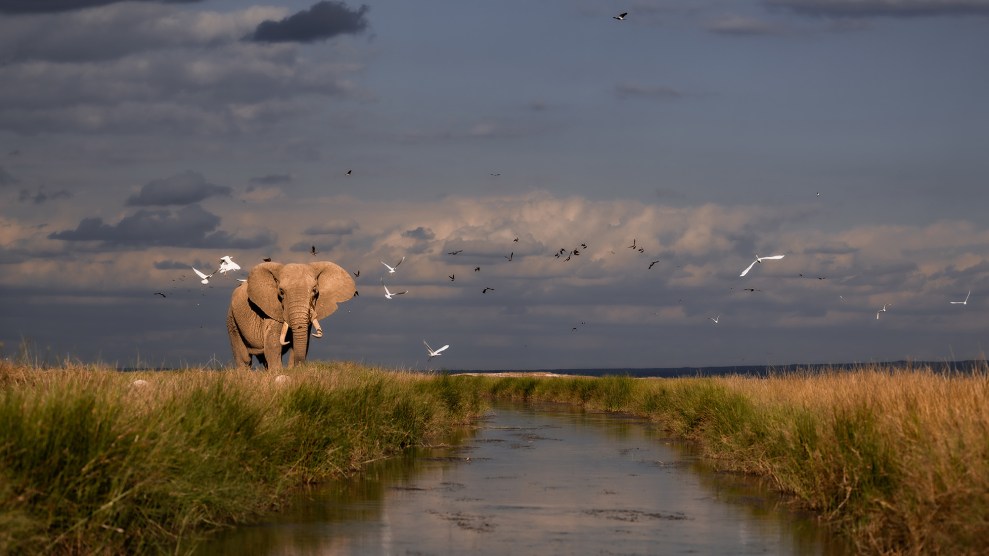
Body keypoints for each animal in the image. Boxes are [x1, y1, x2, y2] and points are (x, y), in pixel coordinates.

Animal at [227, 260, 356, 370]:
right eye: (281, 292)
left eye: (315, 290)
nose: (298, 367)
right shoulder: (272, 308)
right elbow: (273, 340)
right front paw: (278, 372)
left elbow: (303, 341)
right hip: (231, 318)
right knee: (244, 357)